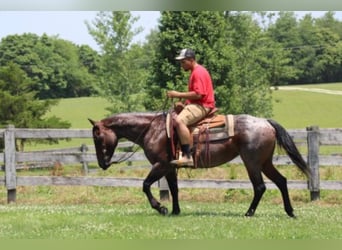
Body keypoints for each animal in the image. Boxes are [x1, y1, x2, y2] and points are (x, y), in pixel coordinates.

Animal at [89, 112, 310, 218]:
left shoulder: (160, 165)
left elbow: (145, 185)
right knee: (281, 181)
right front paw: (175, 211)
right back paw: (290, 212)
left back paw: (249, 213)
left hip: (253, 163)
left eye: (97, 137)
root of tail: (265, 122)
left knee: (260, 187)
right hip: (265, 163)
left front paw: (160, 208)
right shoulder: (170, 168)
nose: (102, 163)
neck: (153, 129)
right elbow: (174, 189)